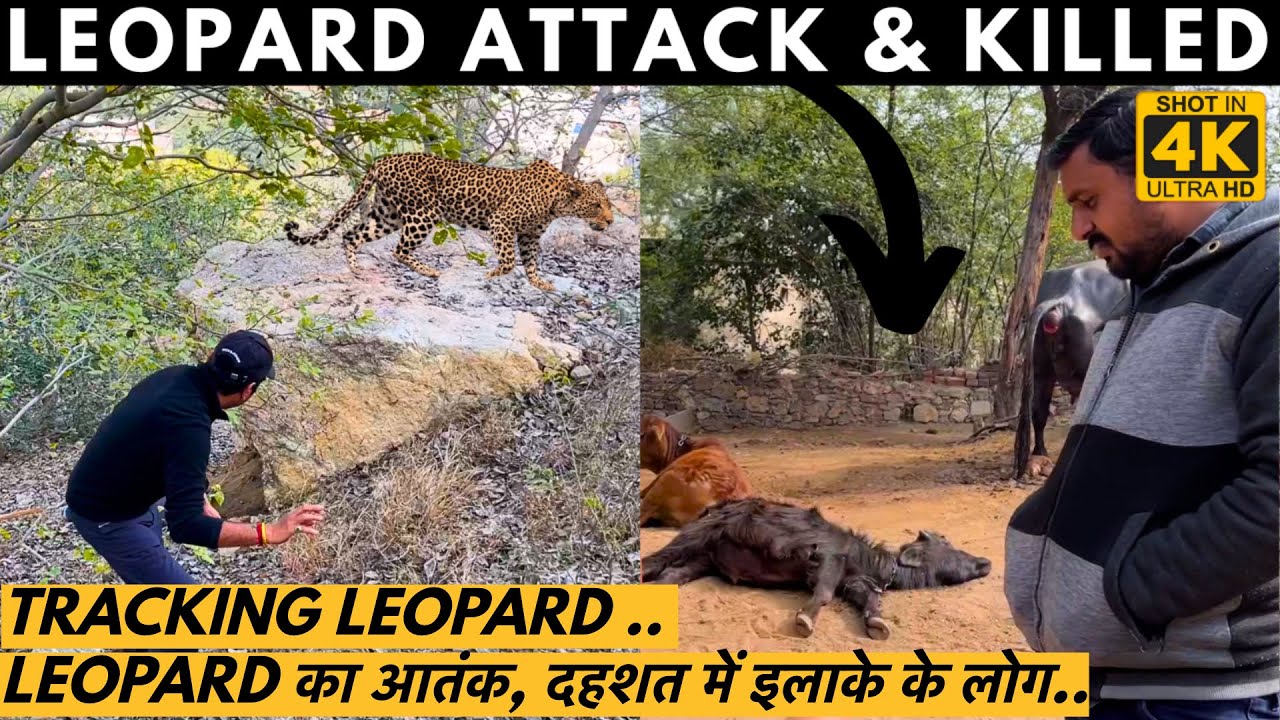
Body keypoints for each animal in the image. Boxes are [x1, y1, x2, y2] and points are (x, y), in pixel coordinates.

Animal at [283, 153, 615, 292]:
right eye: (597, 206)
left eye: (609, 205)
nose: (610, 222)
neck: (559, 202)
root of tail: (384, 159)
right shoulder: (502, 222)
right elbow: (509, 260)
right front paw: (490, 275)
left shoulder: (530, 235)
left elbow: (531, 262)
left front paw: (539, 283)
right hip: (423, 212)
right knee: (399, 250)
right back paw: (430, 271)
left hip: (388, 214)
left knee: (352, 234)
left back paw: (356, 270)